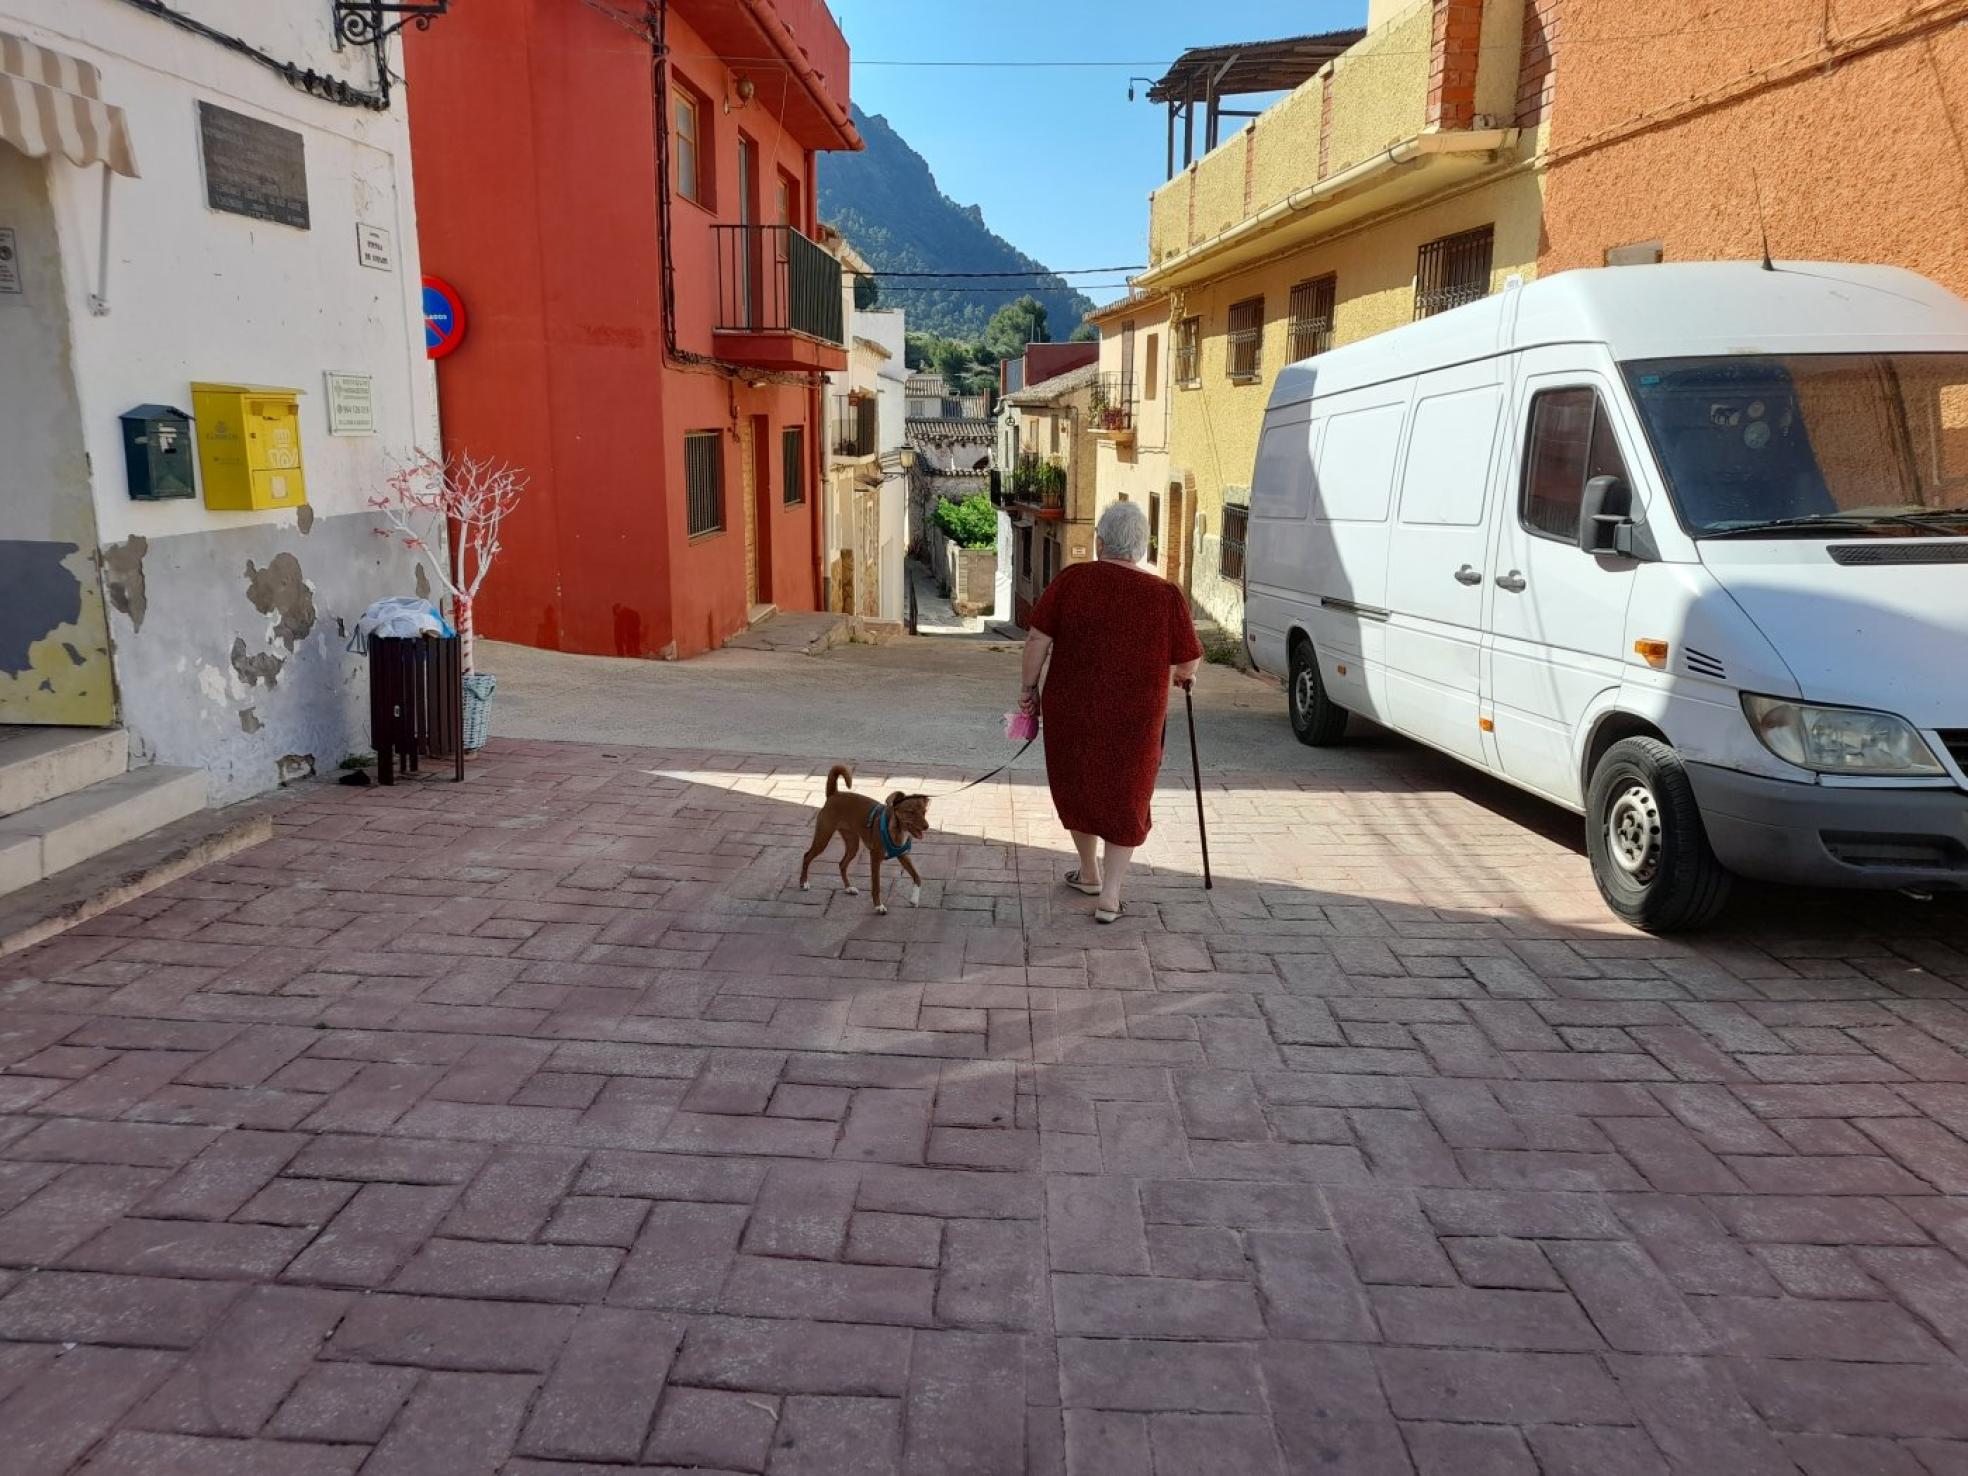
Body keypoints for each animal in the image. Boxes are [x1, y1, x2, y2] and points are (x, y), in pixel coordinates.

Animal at [795, 767, 924, 909]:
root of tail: (834, 793)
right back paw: (804, 883)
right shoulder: (875, 858)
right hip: (823, 838)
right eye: (910, 812)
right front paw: (878, 906)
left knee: (842, 864)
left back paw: (848, 888)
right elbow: (876, 885)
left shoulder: (903, 856)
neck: (897, 830)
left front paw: (914, 899)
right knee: (807, 856)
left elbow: (917, 877)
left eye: (924, 812)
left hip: (852, 845)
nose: (927, 826)